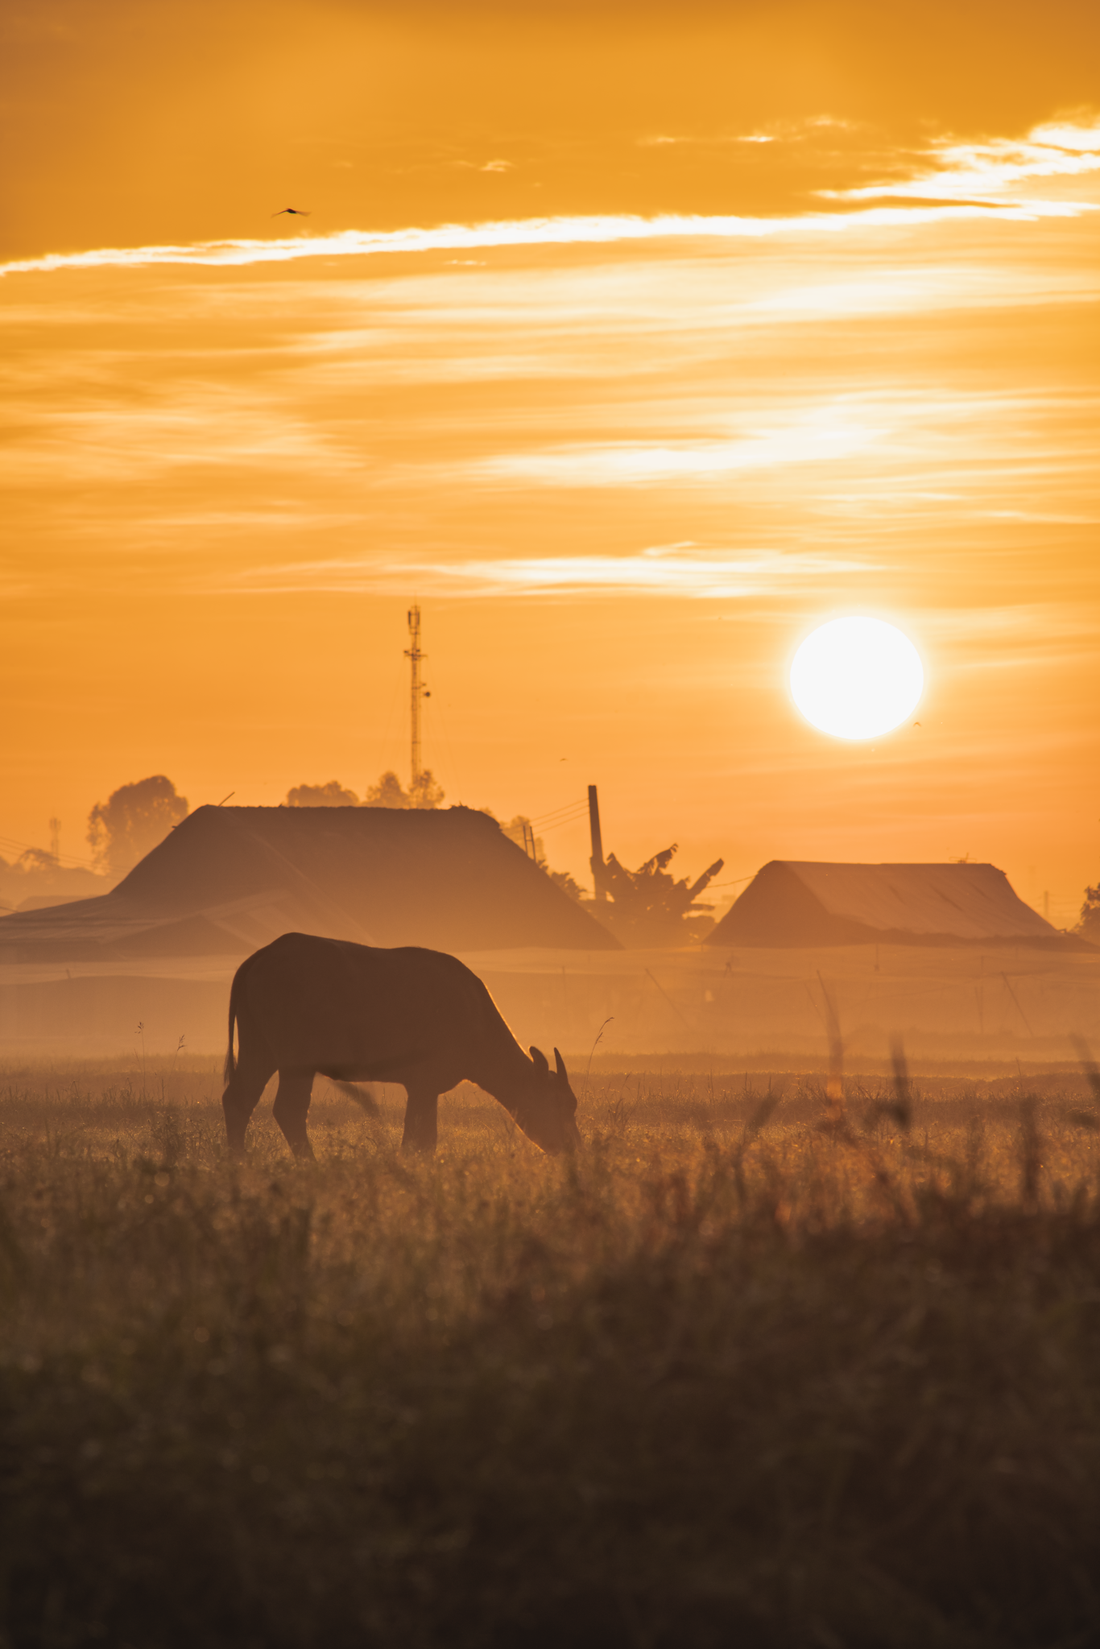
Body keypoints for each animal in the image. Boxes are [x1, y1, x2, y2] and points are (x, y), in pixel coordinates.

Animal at [224, 936, 583, 1154]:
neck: (473, 1015)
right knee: (289, 1110)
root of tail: (261, 957)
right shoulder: (424, 1086)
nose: (574, 1146)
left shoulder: (422, 1089)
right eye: (564, 1104)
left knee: (238, 1100)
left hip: (260, 1050)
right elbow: (420, 1143)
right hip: (296, 1062)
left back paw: (238, 1162)